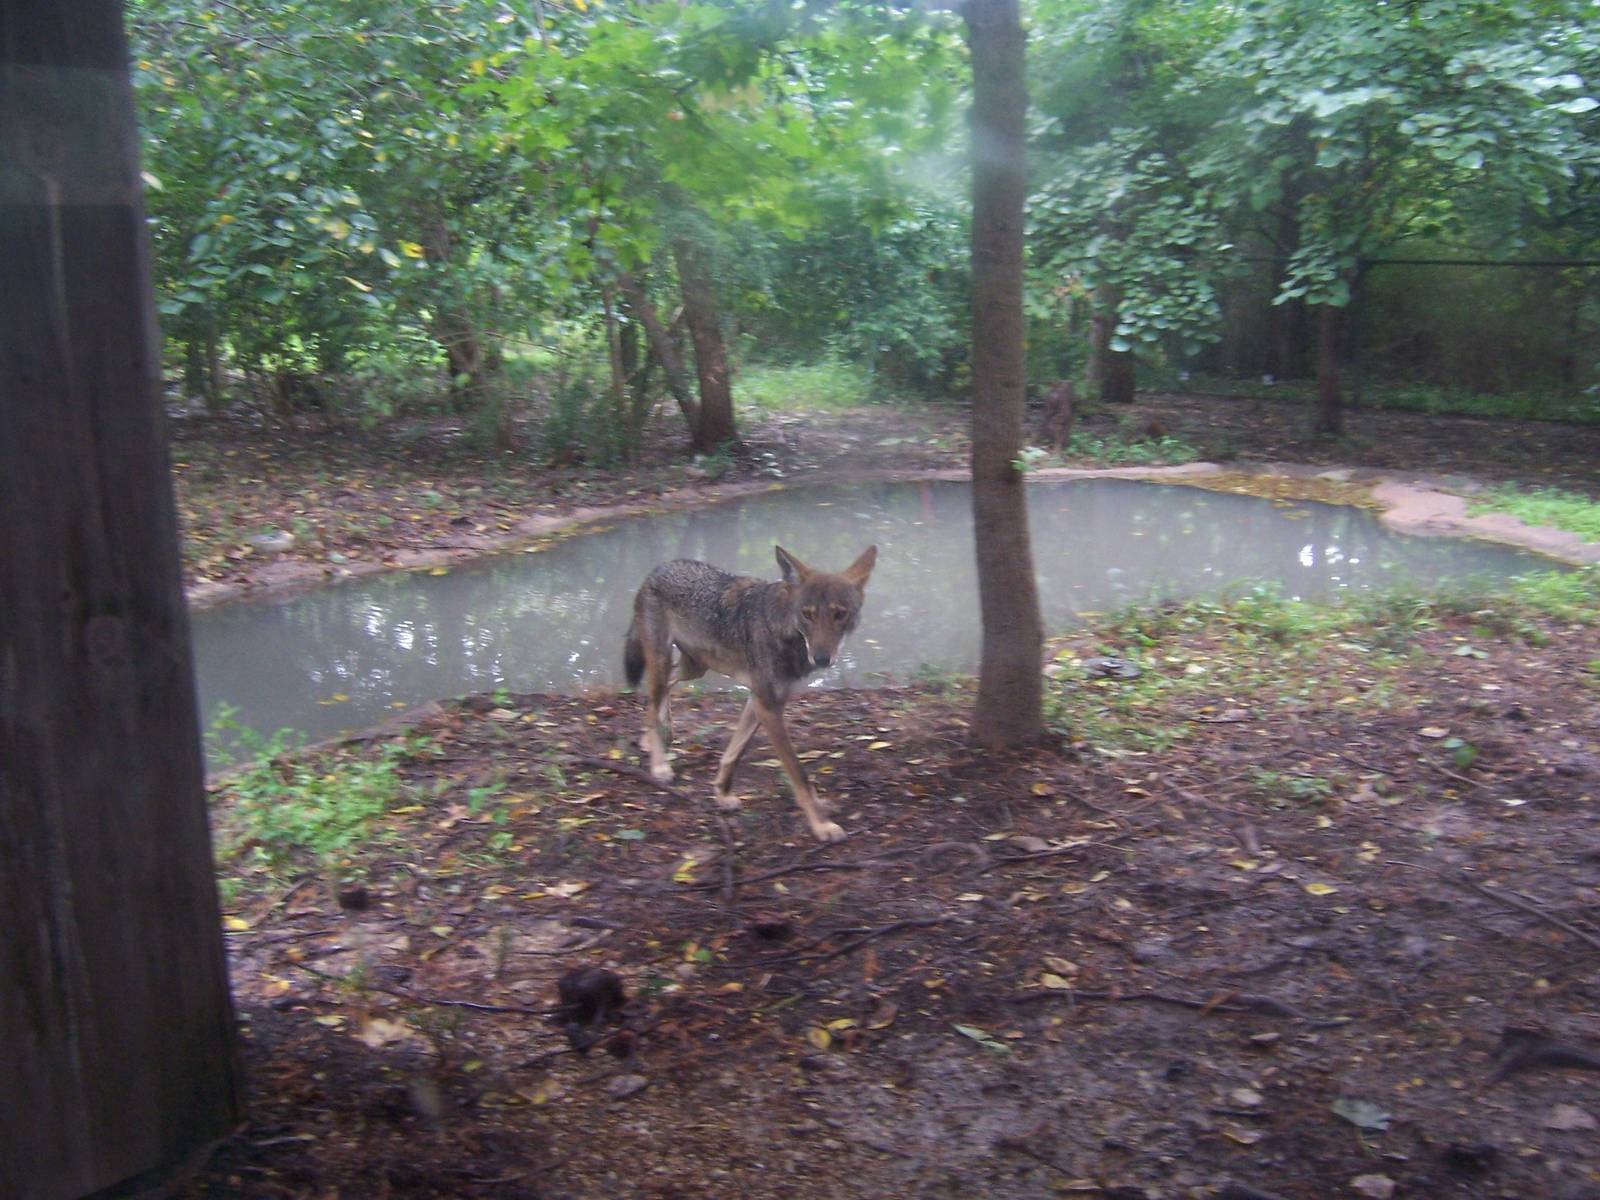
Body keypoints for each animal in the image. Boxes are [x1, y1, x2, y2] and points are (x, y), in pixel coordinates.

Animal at [622, 544, 877, 843]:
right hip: (664, 662)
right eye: (807, 614)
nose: (822, 658)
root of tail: (657, 569)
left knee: (663, 691)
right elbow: (799, 774)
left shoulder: (759, 702)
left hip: (693, 668)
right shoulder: (768, 707)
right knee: (653, 700)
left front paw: (722, 794)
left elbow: (733, 755)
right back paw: (659, 765)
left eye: (840, 614)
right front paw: (821, 826)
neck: (783, 630)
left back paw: (657, 735)